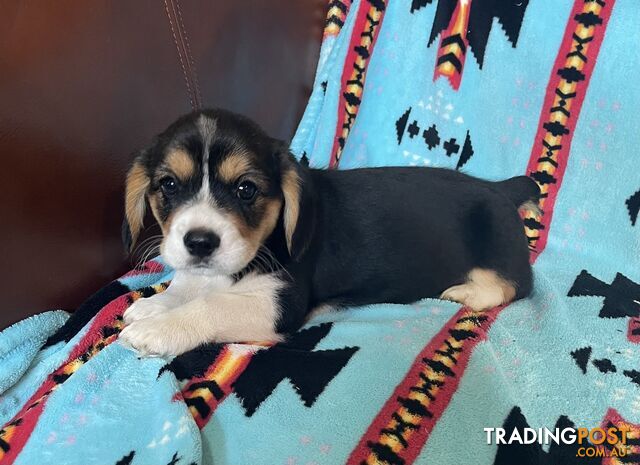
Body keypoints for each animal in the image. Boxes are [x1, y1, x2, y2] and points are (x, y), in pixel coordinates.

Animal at [117, 109, 536, 356]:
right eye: (169, 185)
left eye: (246, 189)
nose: (200, 242)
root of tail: (501, 188)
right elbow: (187, 285)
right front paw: (155, 305)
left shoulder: (280, 304)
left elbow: (211, 305)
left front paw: (158, 328)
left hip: (499, 249)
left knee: (514, 285)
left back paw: (466, 292)